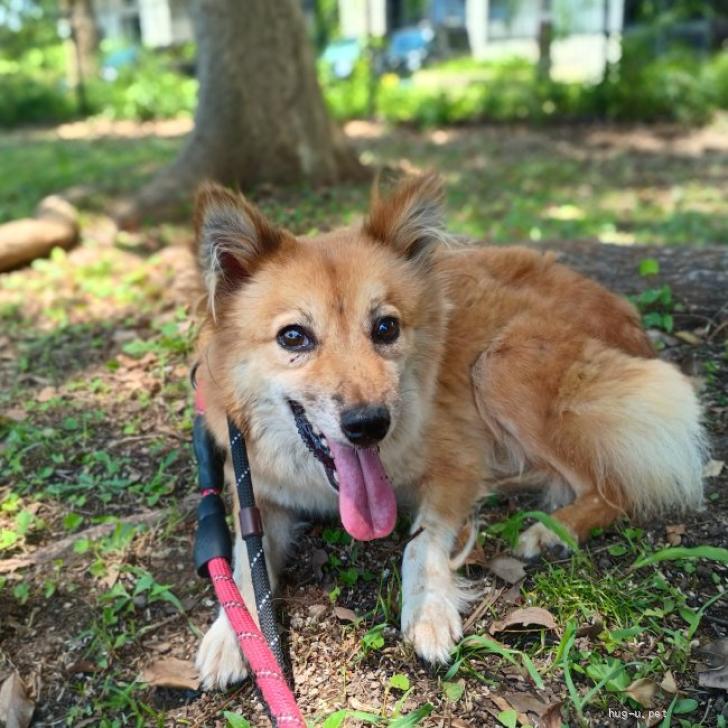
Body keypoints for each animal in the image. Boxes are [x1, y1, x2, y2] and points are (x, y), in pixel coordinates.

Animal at [191, 173, 705, 689]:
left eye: (386, 327)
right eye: (293, 337)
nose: (370, 425)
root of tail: (630, 323)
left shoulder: (457, 464)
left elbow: (421, 540)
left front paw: (428, 611)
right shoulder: (258, 494)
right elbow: (243, 563)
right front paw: (231, 634)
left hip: (501, 365)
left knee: (614, 486)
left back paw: (549, 530)